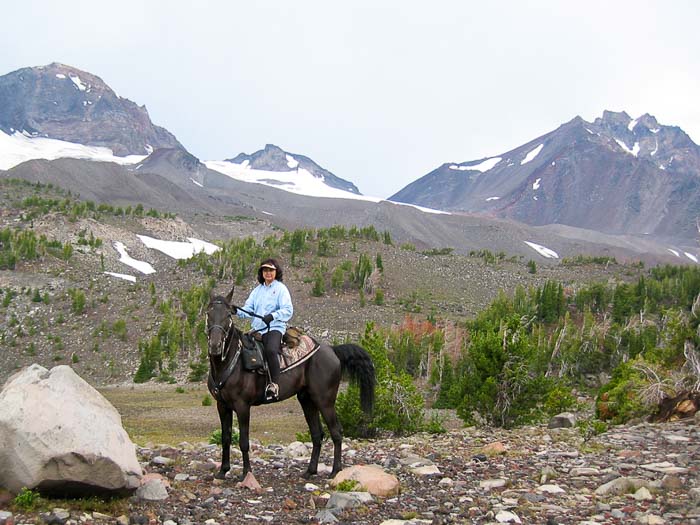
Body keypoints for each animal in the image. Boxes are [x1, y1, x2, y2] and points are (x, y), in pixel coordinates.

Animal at [205, 286, 374, 478]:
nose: (215, 346)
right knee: (317, 434)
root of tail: (332, 350)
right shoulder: (222, 405)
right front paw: (223, 471)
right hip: (307, 400)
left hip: (325, 401)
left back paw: (335, 471)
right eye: (208, 313)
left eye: (227, 315)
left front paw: (246, 473)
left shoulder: (242, 406)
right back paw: (310, 471)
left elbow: (243, 442)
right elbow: (225, 438)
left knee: (336, 432)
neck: (231, 362)